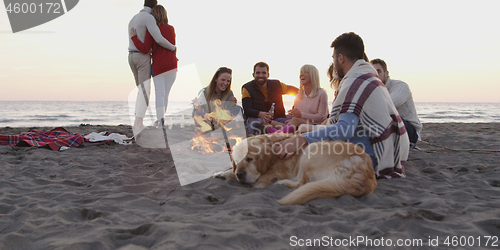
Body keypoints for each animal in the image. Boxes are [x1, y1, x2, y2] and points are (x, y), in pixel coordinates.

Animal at [213, 133, 376, 205]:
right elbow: (230, 171)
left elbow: (260, 179)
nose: (240, 174)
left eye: (249, 159)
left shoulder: (273, 172)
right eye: (236, 161)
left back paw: (281, 183)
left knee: (302, 183)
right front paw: (222, 173)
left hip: (311, 151)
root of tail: (367, 176)